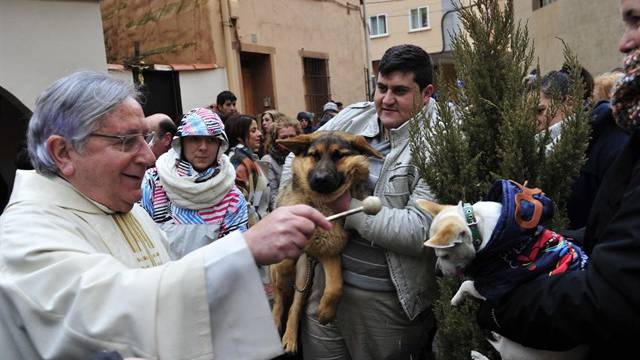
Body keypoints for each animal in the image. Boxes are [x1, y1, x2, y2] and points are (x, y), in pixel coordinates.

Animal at [268, 130, 380, 352]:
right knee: (279, 298)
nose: (320, 180)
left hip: (304, 275)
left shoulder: (329, 249)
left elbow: (336, 284)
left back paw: (290, 337)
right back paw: (276, 318)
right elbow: (283, 266)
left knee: (295, 306)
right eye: (315, 155)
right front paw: (283, 271)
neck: (322, 205)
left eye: (338, 155)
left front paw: (326, 312)